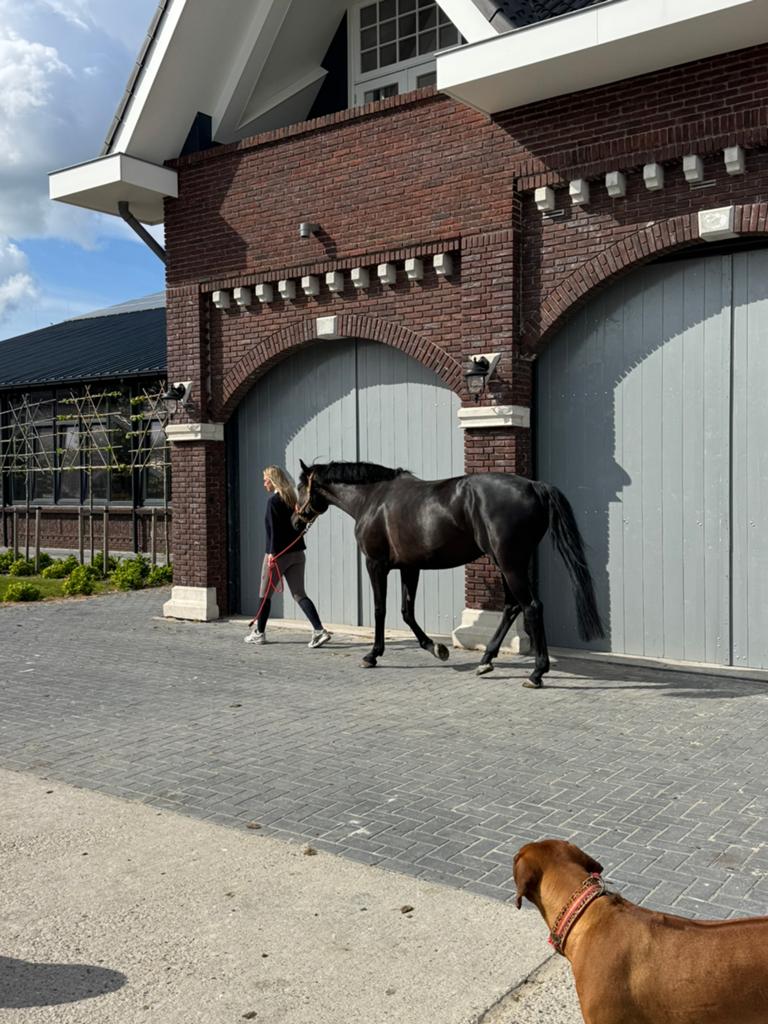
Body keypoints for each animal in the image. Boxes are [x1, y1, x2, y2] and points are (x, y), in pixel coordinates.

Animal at [293, 460, 604, 687]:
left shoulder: (376, 564)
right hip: (509, 563)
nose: (296, 520)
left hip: (509, 562)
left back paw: (536, 674)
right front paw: (436, 648)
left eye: (299, 486)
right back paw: (486, 661)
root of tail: (533, 486)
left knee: (531, 607)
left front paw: (372, 655)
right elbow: (407, 611)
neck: (373, 498)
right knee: (512, 606)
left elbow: (380, 609)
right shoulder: (410, 567)